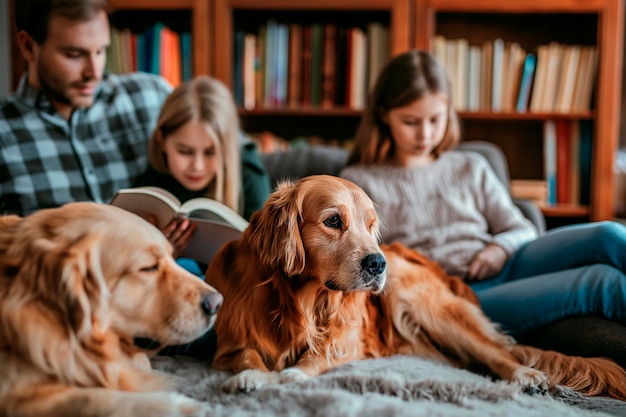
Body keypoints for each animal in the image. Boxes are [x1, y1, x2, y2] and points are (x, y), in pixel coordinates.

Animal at [206, 174, 624, 398]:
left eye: (370, 225)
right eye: (333, 221)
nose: (378, 263)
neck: (301, 300)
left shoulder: (348, 341)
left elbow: (316, 358)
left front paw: (289, 374)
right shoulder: (229, 344)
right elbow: (247, 355)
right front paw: (254, 375)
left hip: (426, 304)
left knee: (496, 353)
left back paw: (526, 376)